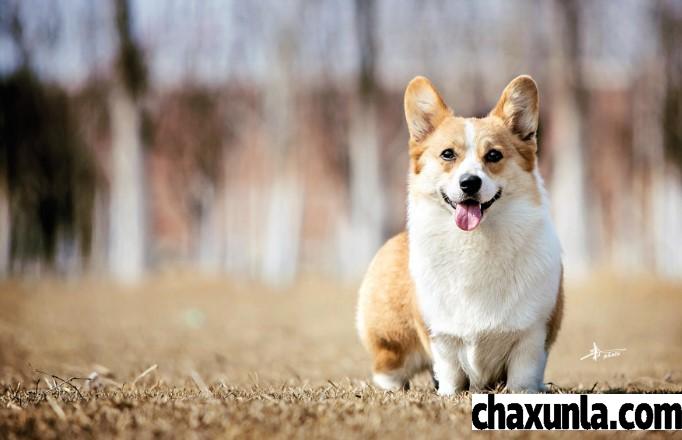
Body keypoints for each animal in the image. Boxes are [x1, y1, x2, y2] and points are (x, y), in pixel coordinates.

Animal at [356, 75, 563, 395]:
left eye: (494, 155)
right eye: (447, 154)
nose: (469, 183)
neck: (475, 242)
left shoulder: (532, 334)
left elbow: (522, 377)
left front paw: (525, 394)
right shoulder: (441, 335)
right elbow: (450, 371)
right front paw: (448, 395)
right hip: (392, 344)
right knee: (388, 371)